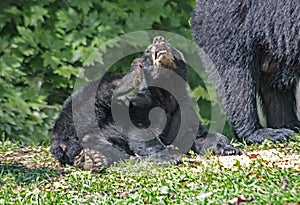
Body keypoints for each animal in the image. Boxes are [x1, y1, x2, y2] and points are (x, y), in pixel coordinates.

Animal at [50, 36, 240, 171]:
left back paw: (93, 158)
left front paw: (228, 148)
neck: (166, 93)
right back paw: (129, 77)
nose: (158, 39)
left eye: (169, 44)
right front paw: (169, 155)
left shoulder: (183, 109)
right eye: (147, 51)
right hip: (78, 112)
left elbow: (196, 134)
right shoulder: (142, 104)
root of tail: (59, 141)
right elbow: (142, 131)